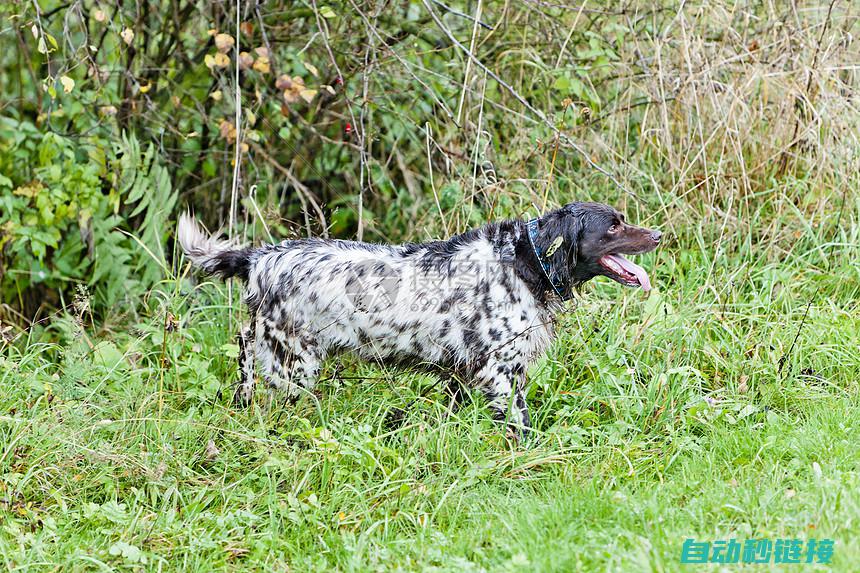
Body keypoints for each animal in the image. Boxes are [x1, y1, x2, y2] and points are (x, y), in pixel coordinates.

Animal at [173, 201, 660, 438]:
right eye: (613, 226)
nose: (658, 234)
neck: (526, 261)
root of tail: (260, 258)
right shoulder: (501, 374)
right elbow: (521, 427)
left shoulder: (465, 375)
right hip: (292, 366)